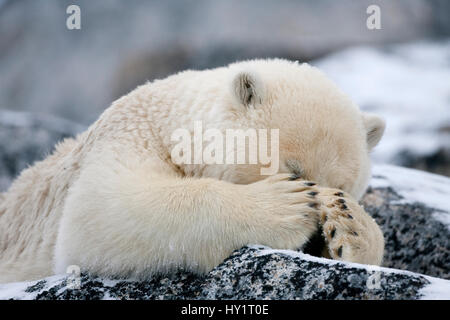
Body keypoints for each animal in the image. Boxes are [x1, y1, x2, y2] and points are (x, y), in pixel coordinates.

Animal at [0, 58, 386, 282]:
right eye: (293, 170)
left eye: (344, 185)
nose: (316, 240)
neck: (167, 120)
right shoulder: (127, 137)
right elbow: (100, 212)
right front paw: (286, 206)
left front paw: (350, 225)